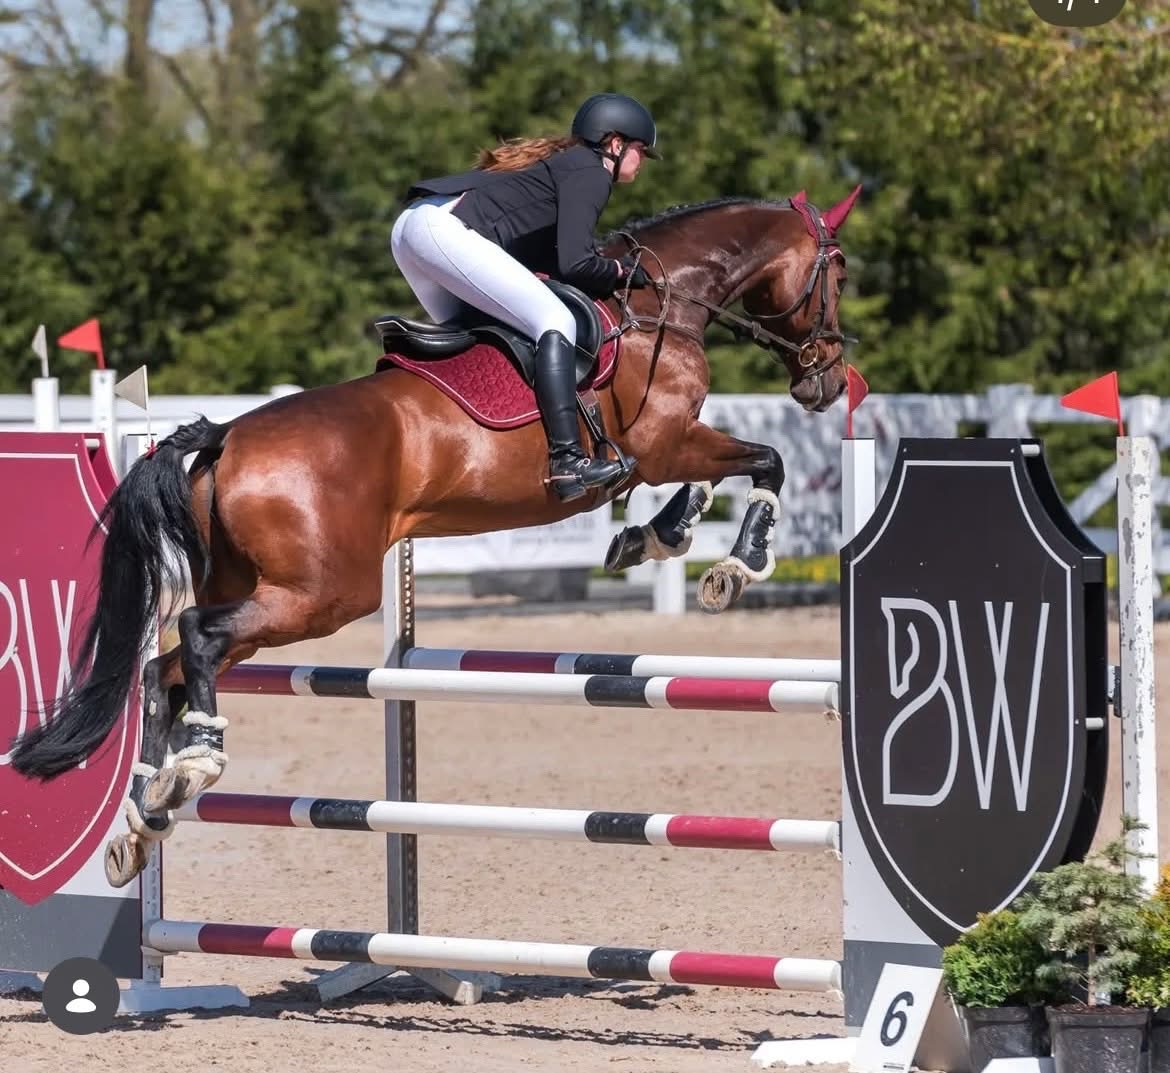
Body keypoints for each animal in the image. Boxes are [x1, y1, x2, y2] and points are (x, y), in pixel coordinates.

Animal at [9, 188, 859, 887]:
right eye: (838, 272)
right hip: (321, 595)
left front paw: (659, 537)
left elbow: (714, 482)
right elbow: (767, 460)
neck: (659, 300)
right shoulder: (664, 443)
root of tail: (223, 435)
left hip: (266, 589)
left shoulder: (669, 449)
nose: (826, 380)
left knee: (164, 668)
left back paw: (145, 815)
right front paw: (736, 565)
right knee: (194, 635)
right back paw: (197, 767)